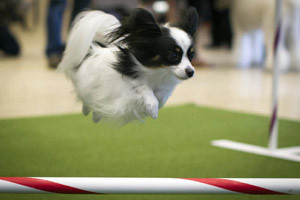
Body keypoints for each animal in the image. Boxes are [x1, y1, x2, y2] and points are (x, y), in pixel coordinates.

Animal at [58, 8, 199, 126]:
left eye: (191, 55)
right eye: (173, 56)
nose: (190, 72)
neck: (158, 71)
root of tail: (92, 51)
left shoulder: (164, 87)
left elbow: (161, 95)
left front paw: (155, 102)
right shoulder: (127, 87)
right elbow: (143, 87)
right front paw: (152, 107)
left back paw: (95, 115)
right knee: (87, 97)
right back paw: (89, 110)